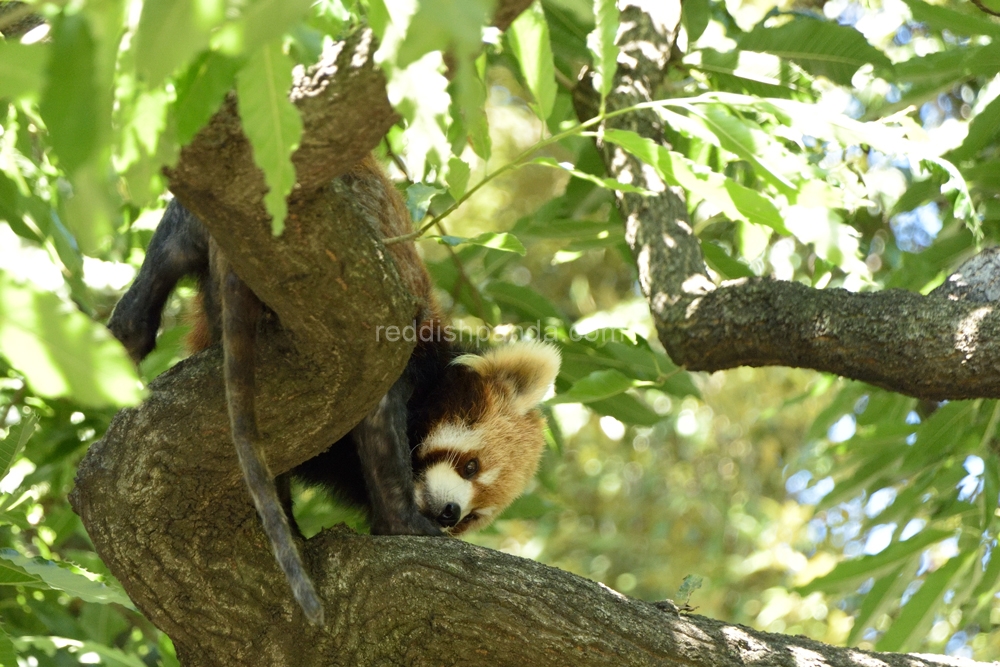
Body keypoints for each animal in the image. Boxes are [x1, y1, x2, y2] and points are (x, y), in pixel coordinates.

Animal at [111, 157, 564, 628]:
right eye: (471, 466)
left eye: (474, 515)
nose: (448, 513)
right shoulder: (404, 349)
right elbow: (380, 422)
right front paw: (402, 520)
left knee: (170, 251)